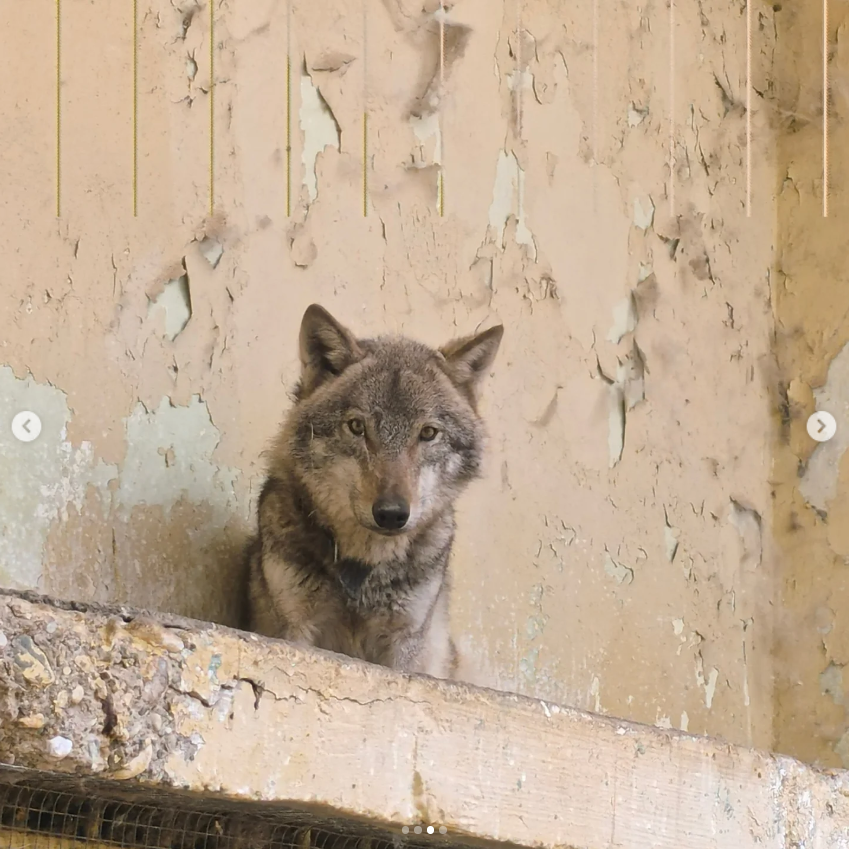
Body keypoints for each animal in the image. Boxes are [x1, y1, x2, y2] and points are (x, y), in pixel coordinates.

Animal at [245, 304, 503, 679]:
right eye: (357, 427)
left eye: (428, 433)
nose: (392, 514)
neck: (363, 569)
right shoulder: (294, 628)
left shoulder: (406, 642)